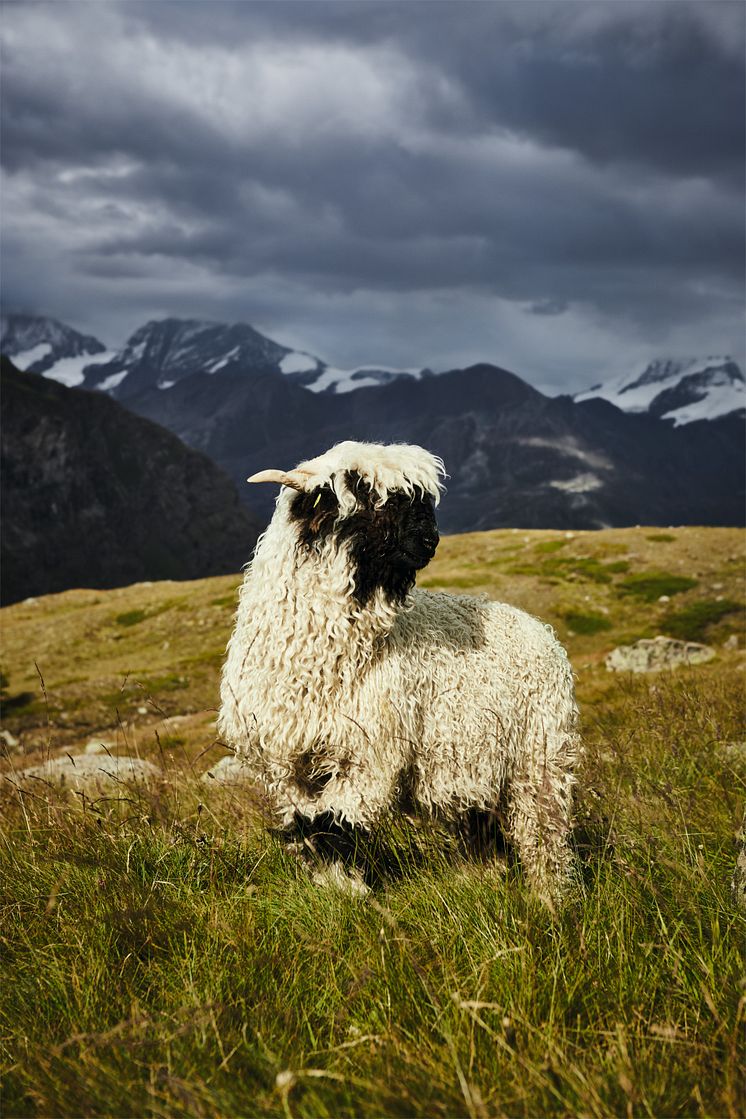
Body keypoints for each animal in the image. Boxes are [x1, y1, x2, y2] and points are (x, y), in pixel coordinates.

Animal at [219, 436, 581, 899]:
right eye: (364, 493)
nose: (430, 540)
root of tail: (540, 629)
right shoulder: (285, 765)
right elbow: (308, 827)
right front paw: (331, 889)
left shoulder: (368, 754)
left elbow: (336, 826)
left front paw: (350, 893)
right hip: (469, 765)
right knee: (481, 830)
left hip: (539, 754)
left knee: (544, 833)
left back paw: (550, 900)